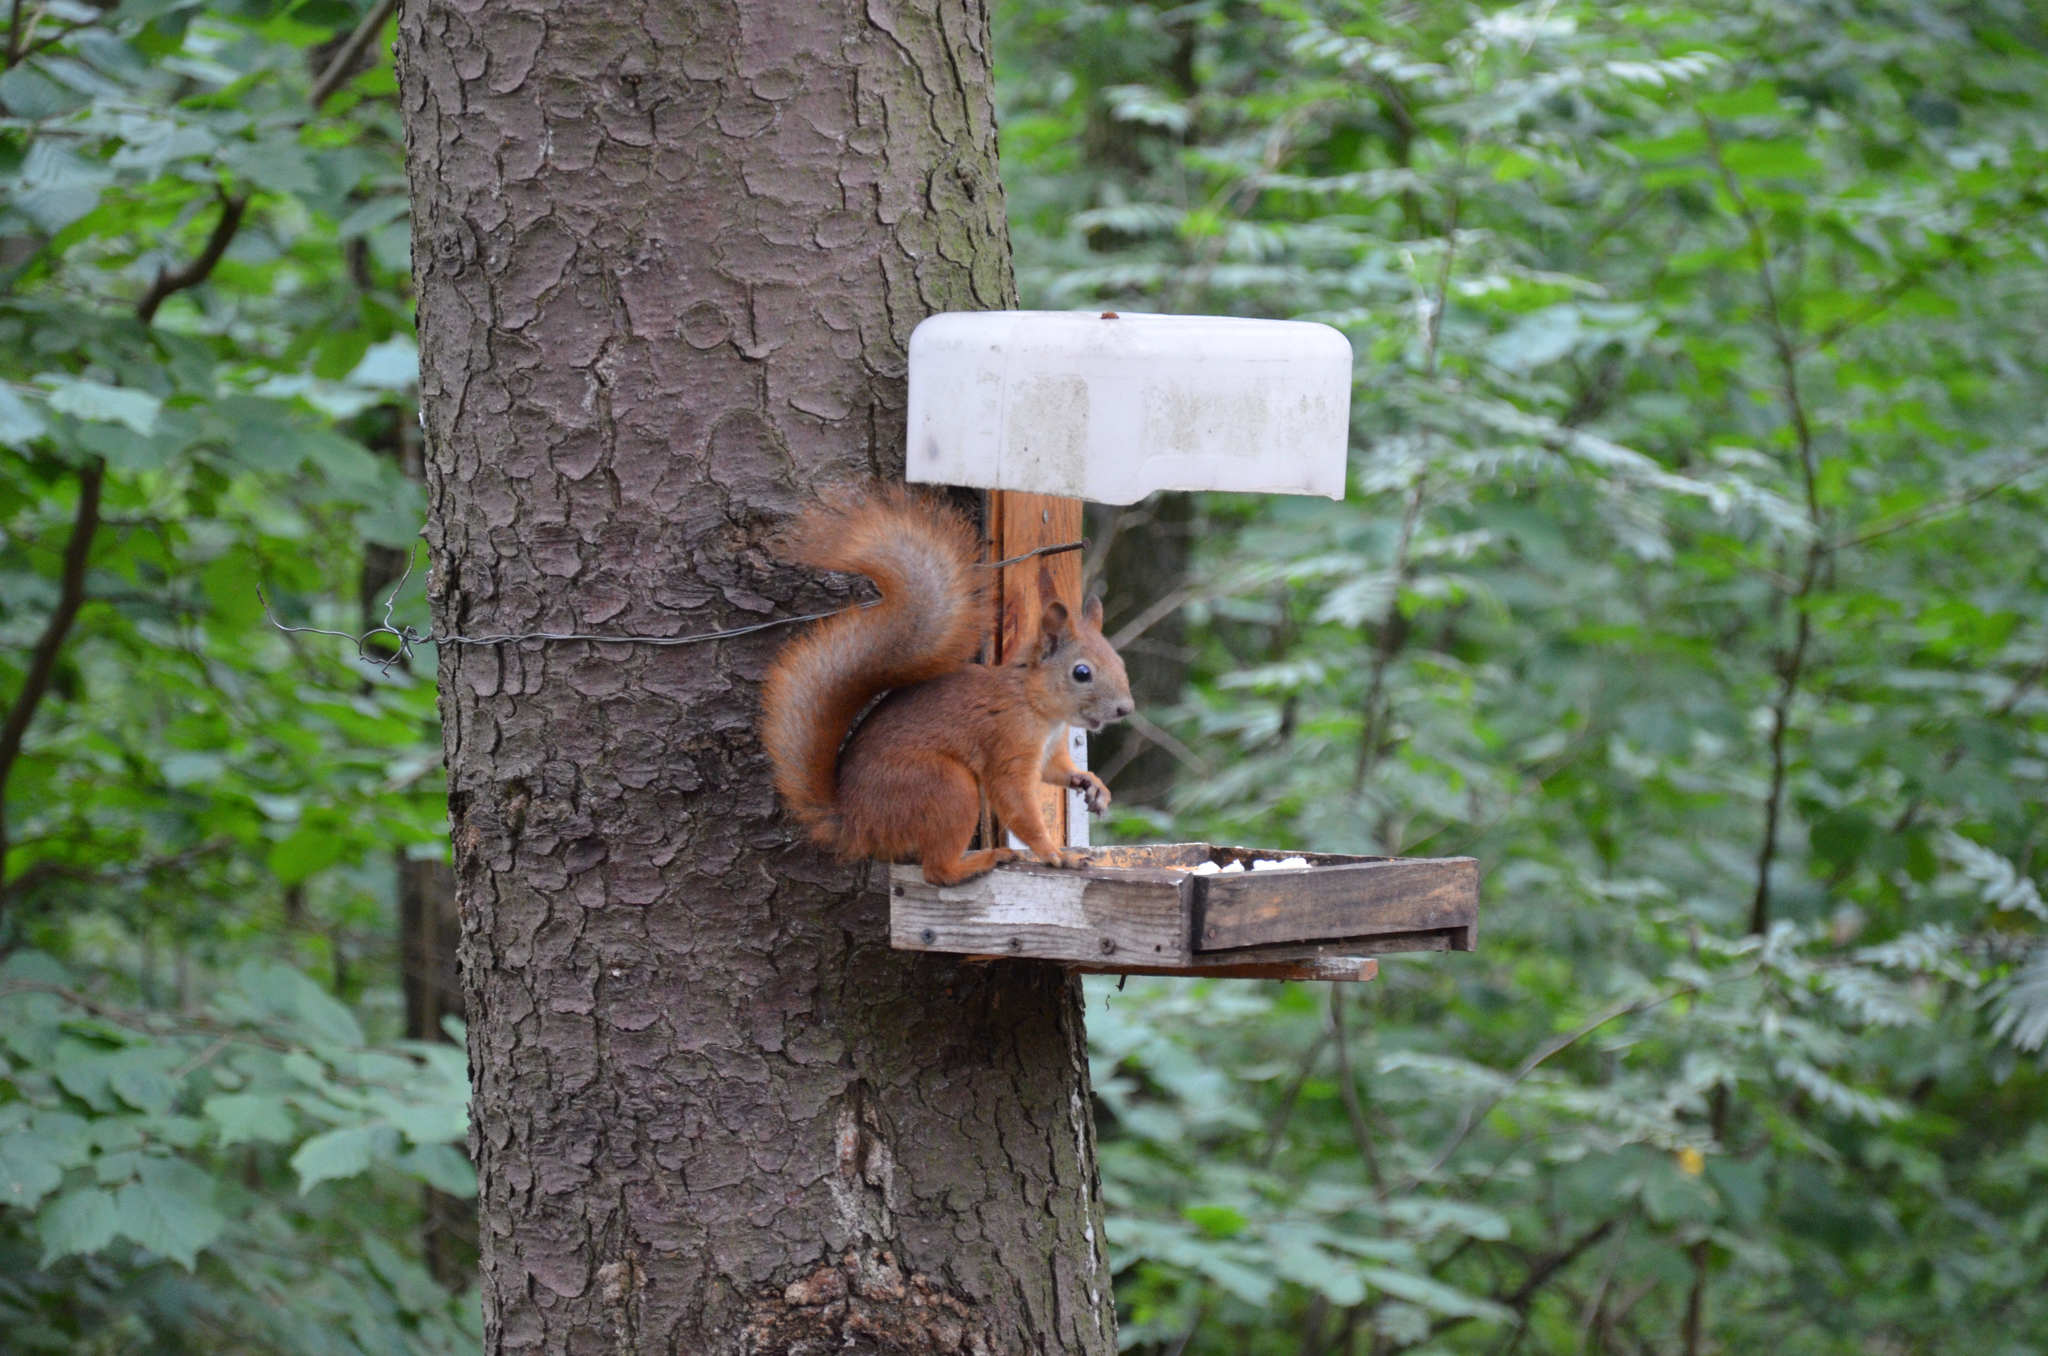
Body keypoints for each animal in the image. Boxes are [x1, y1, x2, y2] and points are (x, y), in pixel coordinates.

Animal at [761, 491, 1138, 893]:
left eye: (1119, 662)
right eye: (1082, 673)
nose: (1125, 709)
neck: (1038, 708)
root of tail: (856, 823)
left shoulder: (1049, 750)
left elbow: (1056, 770)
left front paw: (1092, 785)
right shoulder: (1007, 741)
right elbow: (1016, 800)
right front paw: (1056, 855)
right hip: (945, 787)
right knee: (936, 870)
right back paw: (981, 861)